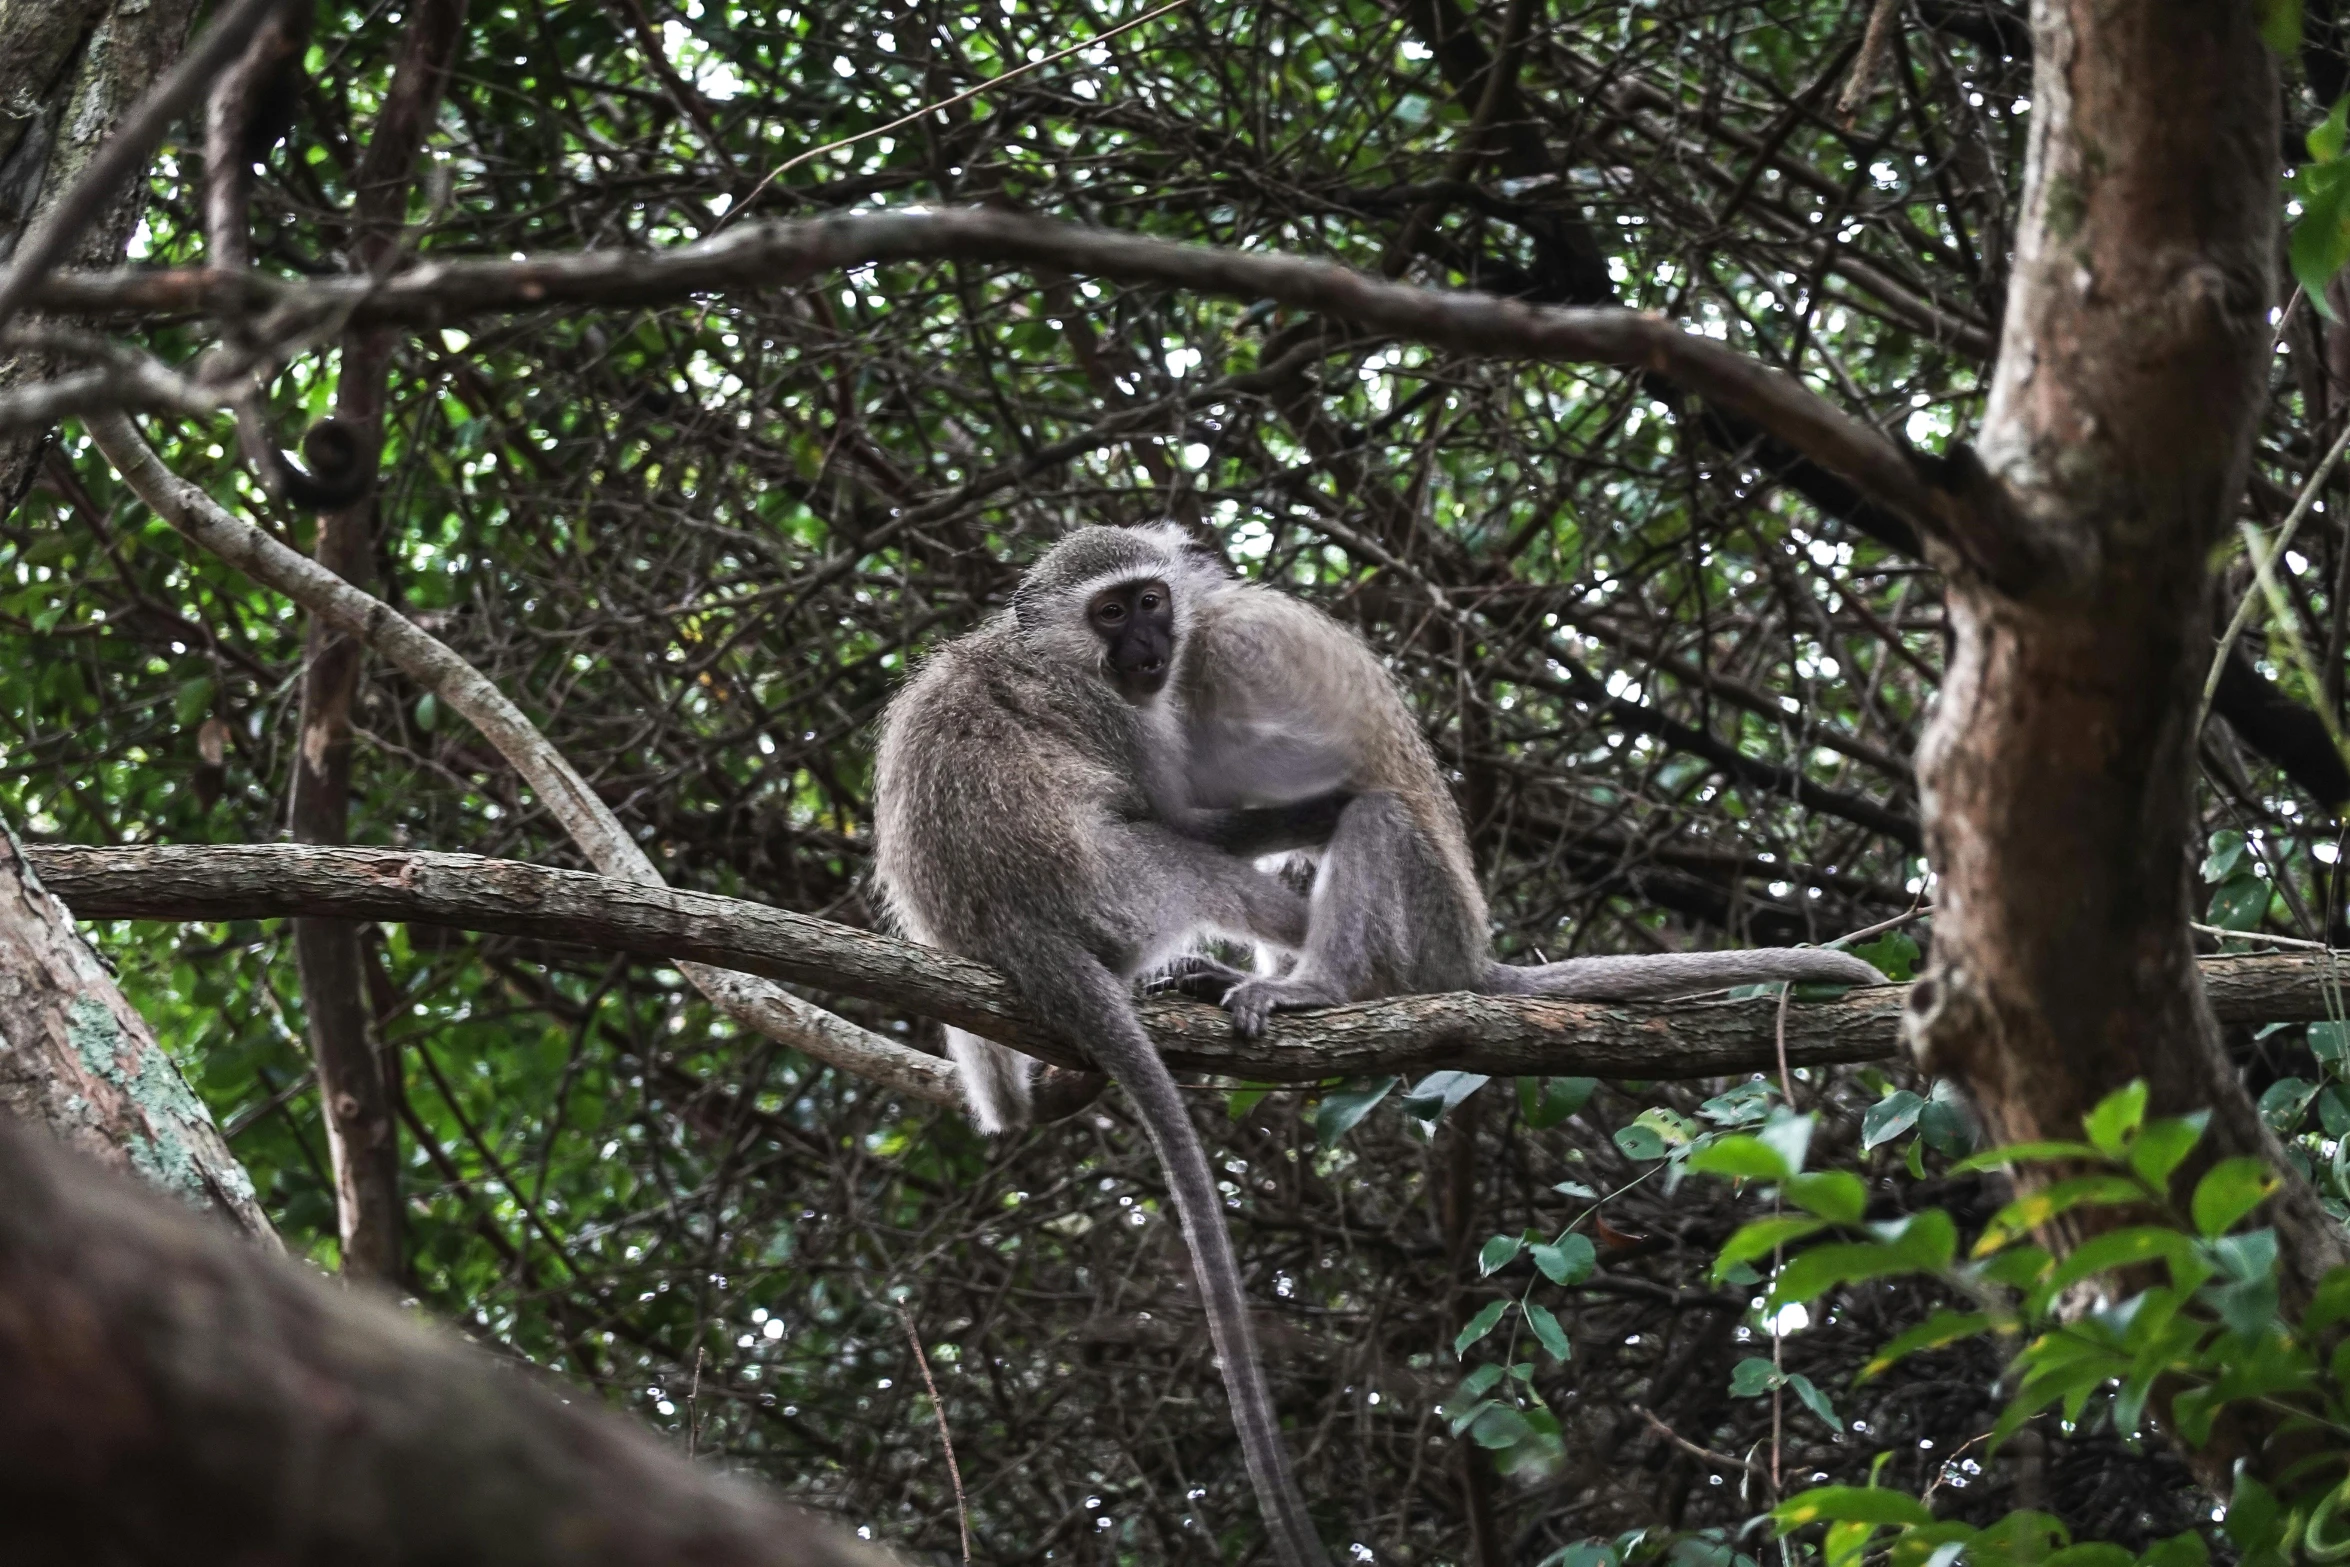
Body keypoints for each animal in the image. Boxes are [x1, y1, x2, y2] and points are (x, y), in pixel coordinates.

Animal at [874, 530, 1344, 1567]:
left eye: (1150, 599)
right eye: (1112, 612)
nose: (1149, 646)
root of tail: (1014, 929)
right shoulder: (1108, 716)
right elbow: (1182, 816)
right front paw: (1327, 806)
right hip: (1121, 889)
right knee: (1183, 854)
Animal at [1090, 523, 1879, 1029]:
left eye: (1151, 602)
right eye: (1112, 612)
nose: (1140, 650)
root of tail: (1472, 957)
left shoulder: (1240, 653)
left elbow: (1322, 766)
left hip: (1430, 925)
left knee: (1373, 815)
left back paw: (1321, 986)